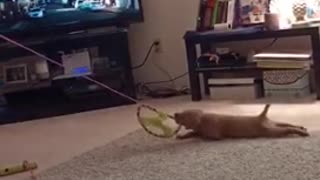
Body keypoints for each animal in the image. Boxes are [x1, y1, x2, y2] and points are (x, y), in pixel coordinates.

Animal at [174, 105, 308, 140]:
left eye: (184, 115)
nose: (175, 114)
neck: (202, 120)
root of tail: (261, 116)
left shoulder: (214, 135)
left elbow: (201, 135)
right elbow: (193, 132)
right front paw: (183, 135)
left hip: (272, 131)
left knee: (288, 129)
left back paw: (302, 133)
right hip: (275, 123)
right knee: (288, 124)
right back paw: (301, 127)